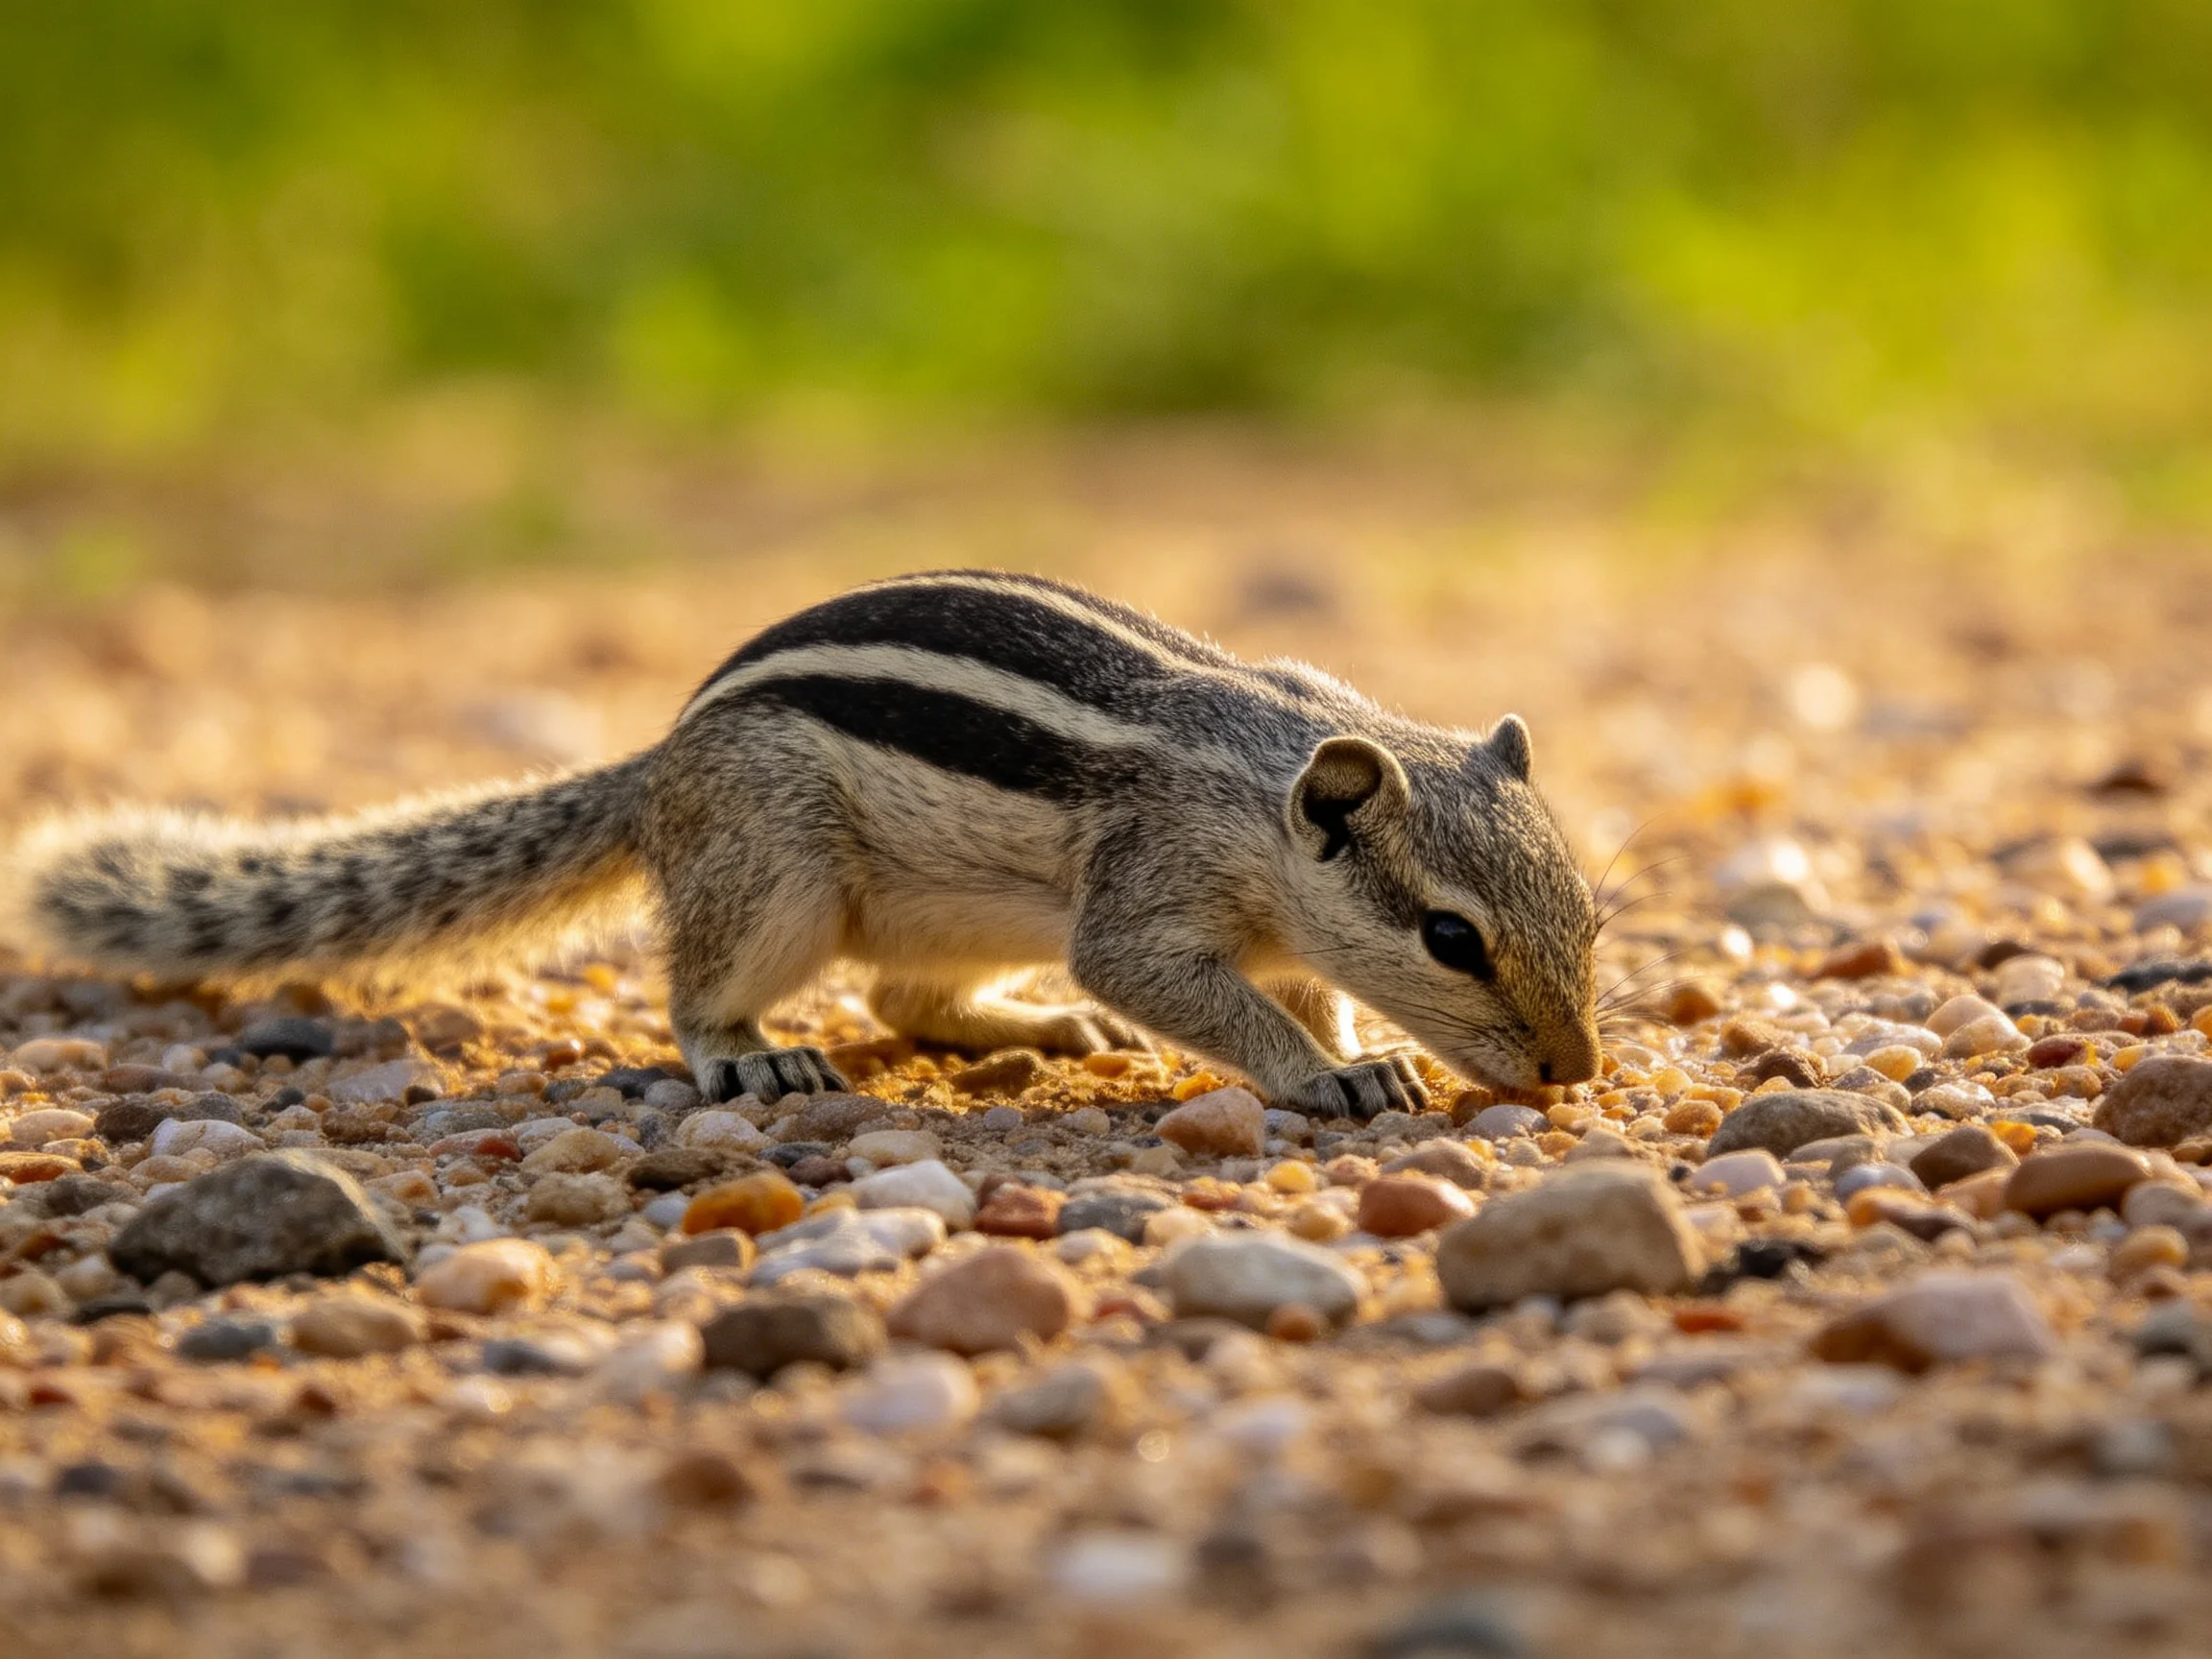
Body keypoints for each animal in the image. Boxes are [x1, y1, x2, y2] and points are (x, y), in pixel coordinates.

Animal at [5, 570, 1601, 1118]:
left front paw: (1357, 1047)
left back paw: (1028, 1027)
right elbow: (1162, 978)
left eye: (1588, 917)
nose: (1577, 1072)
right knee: (704, 990)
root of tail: (658, 769)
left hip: (953, 907)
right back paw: (750, 1056)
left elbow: (1310, 983)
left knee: (904, 995)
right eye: (1452, 937)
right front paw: (1324, 1074)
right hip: (774, 873)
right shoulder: (1148, 890)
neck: (1260, 781)